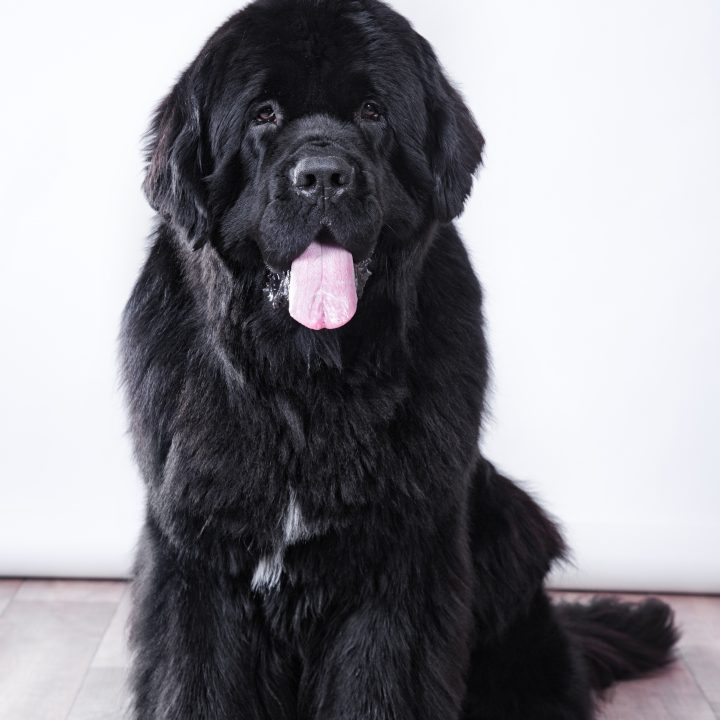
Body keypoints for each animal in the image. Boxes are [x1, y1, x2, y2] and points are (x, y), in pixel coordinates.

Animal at [121, 0, 676, 716]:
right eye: (263, 113)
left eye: (372, 112)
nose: (323, 177)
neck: (305, 383)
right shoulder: (199, 552)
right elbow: (198, 682)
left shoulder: (400, 562)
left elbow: (381, 686)